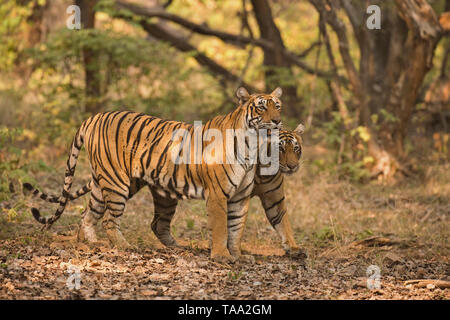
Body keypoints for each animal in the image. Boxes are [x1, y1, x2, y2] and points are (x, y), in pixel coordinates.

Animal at [23, 86, 282, 262]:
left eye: (277, 106)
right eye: (261, 106)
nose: (278, 121)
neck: (253, 143)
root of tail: (93, 117)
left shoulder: (240, 196)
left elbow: (236, 228)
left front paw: (238, 255)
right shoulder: (218, 194)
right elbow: (221, 228)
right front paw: (222, 256)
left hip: (107, 183)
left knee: (88, 215)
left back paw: (90, 244)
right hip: (117, 182)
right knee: (108, 219)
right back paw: (124, 247)